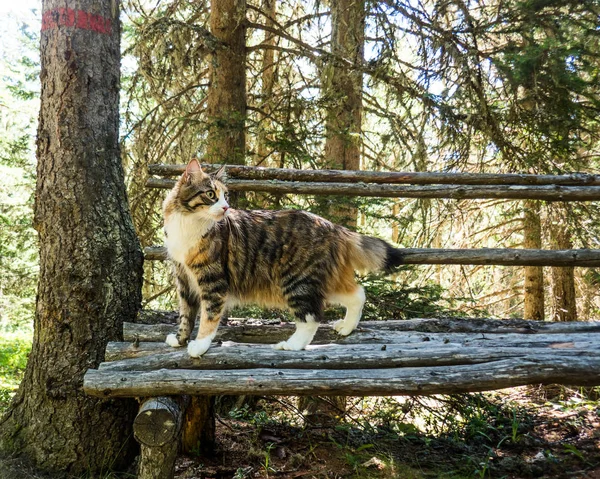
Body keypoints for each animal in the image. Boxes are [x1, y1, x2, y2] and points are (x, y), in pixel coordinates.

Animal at [164, 159, 404, 358]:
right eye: (211, 195)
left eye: (225, 196)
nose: (225, 207)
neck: (188, 223)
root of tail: (331, 225)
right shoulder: (184, 280)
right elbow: (186, 316)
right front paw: (180, 340)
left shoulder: (212, 281)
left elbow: (208, 317)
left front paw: (199, 345)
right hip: (320, 280)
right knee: (358, 294)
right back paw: (346, 327)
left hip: (297, 281)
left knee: (312, 318)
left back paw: (291, 345)